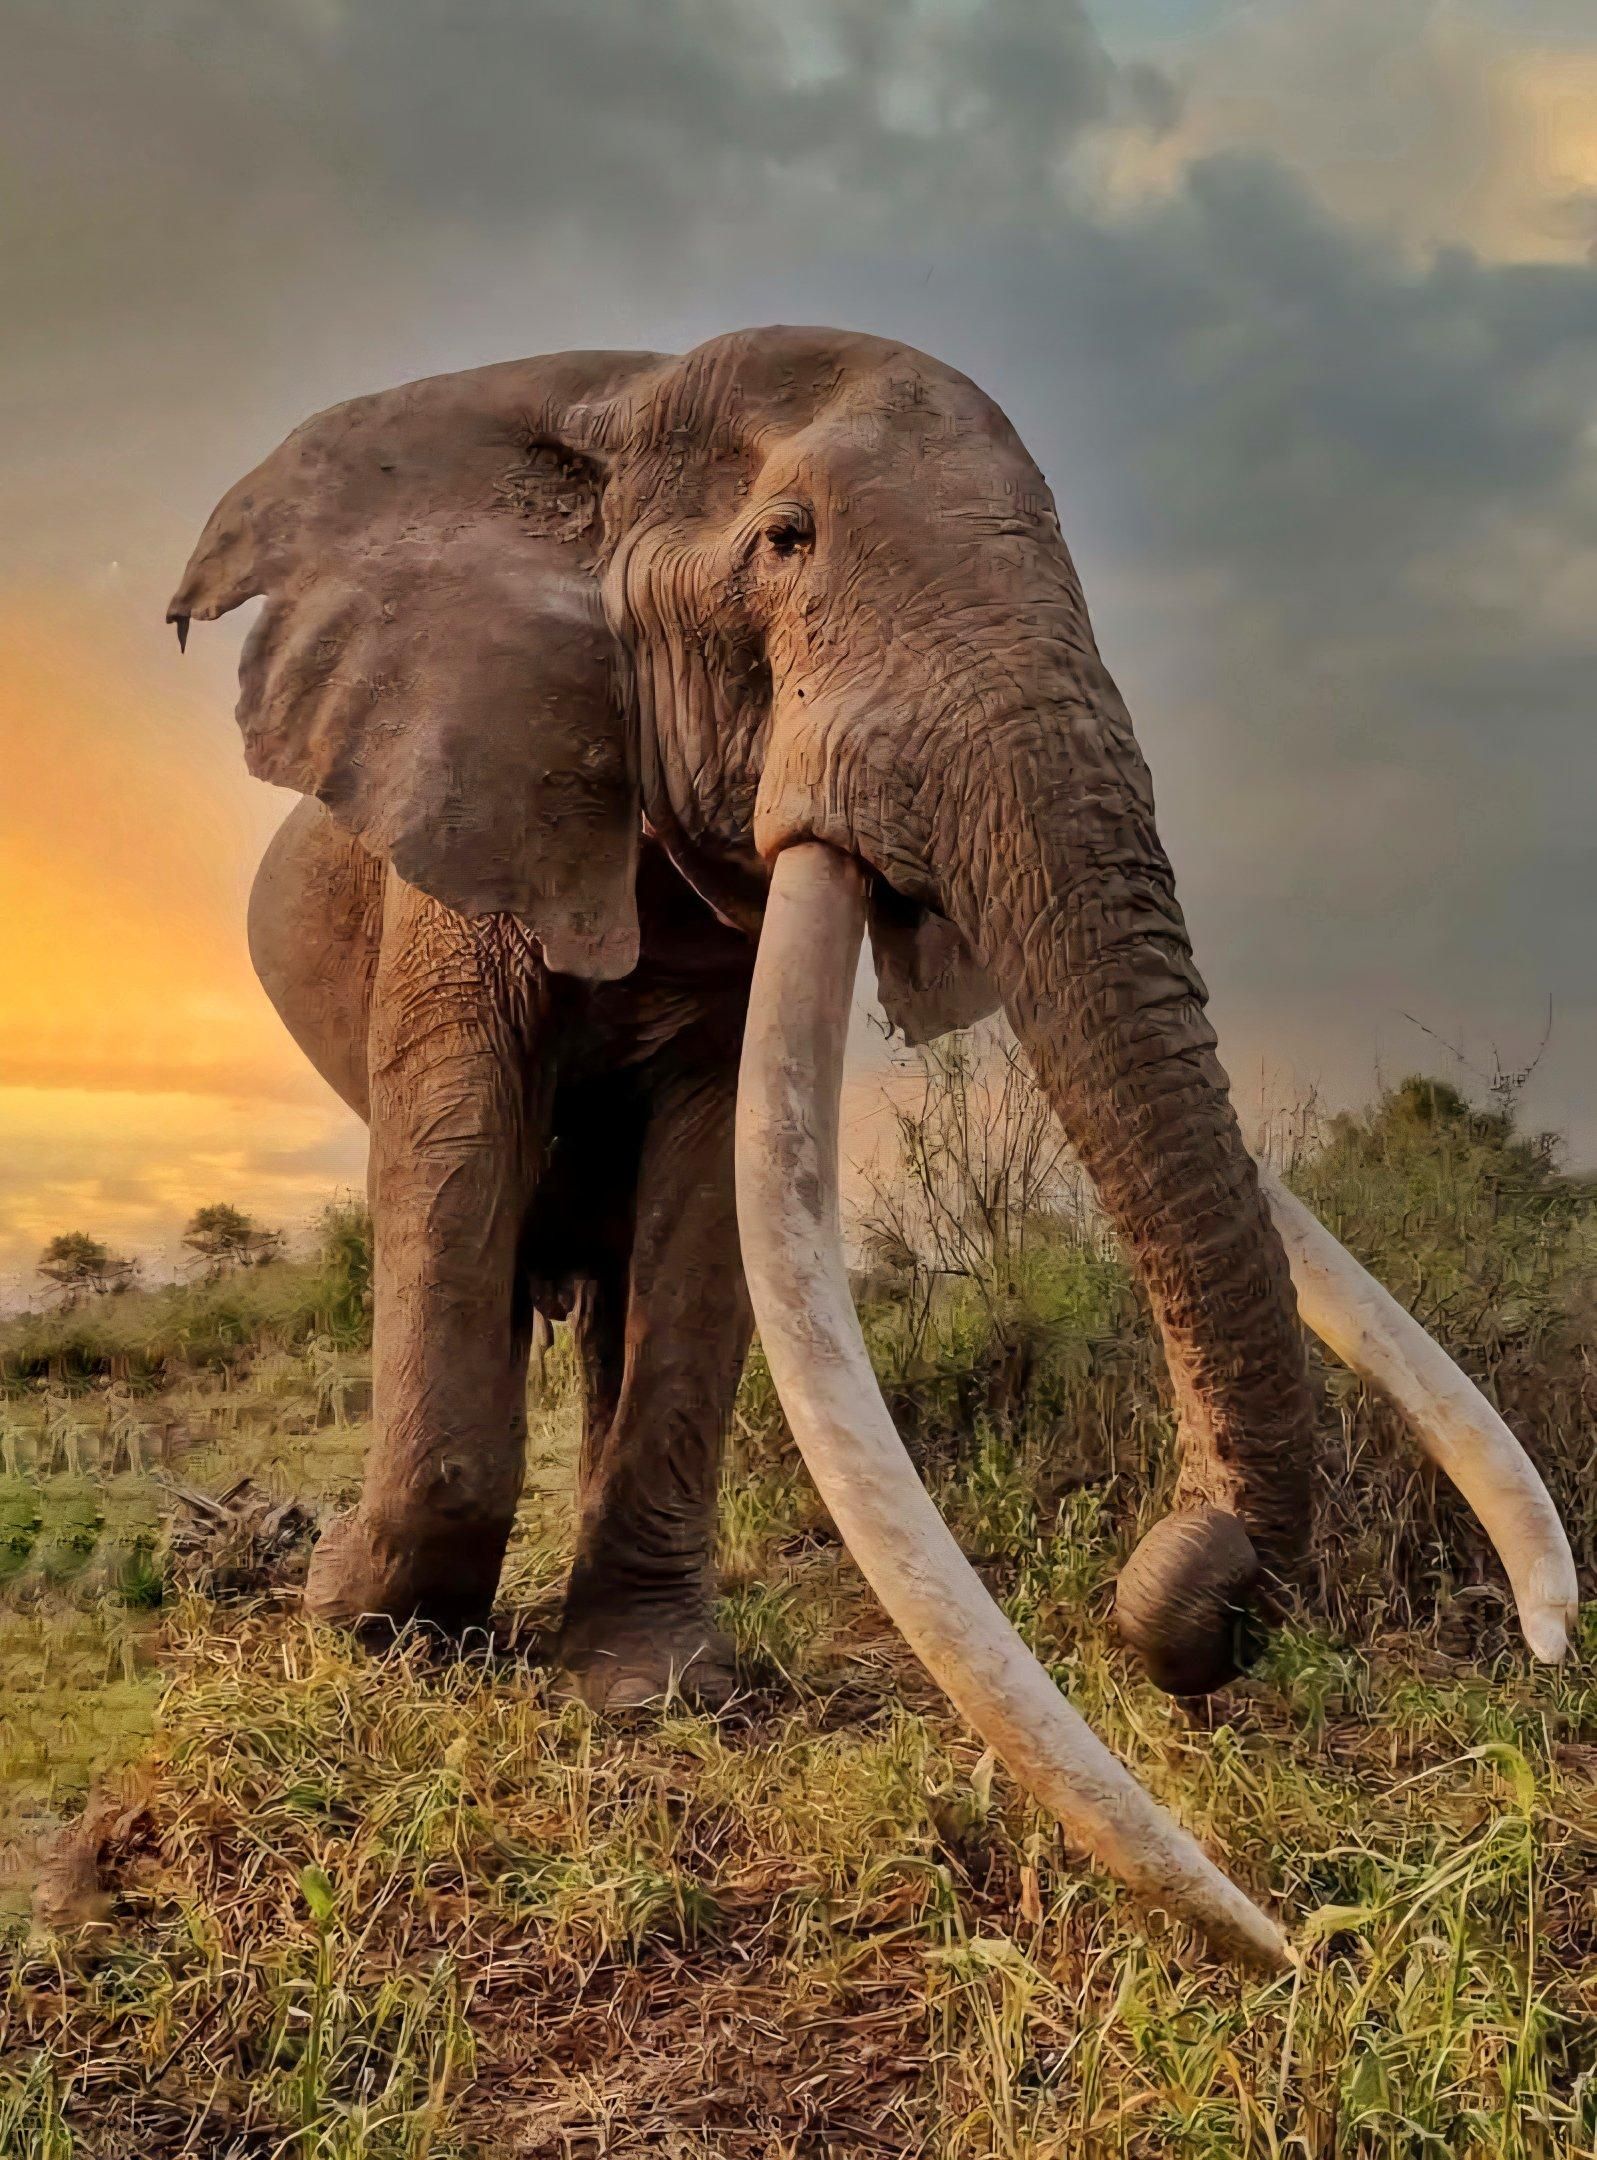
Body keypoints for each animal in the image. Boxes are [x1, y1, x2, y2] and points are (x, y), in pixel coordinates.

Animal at [170, 326, 1576, 1967]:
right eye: (786, 541)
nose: (1191, 1580)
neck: (617, 398)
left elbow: (711, 1179)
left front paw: (653, 1695)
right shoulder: (462, 798)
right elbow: (458, 1140)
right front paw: (364, 1627)